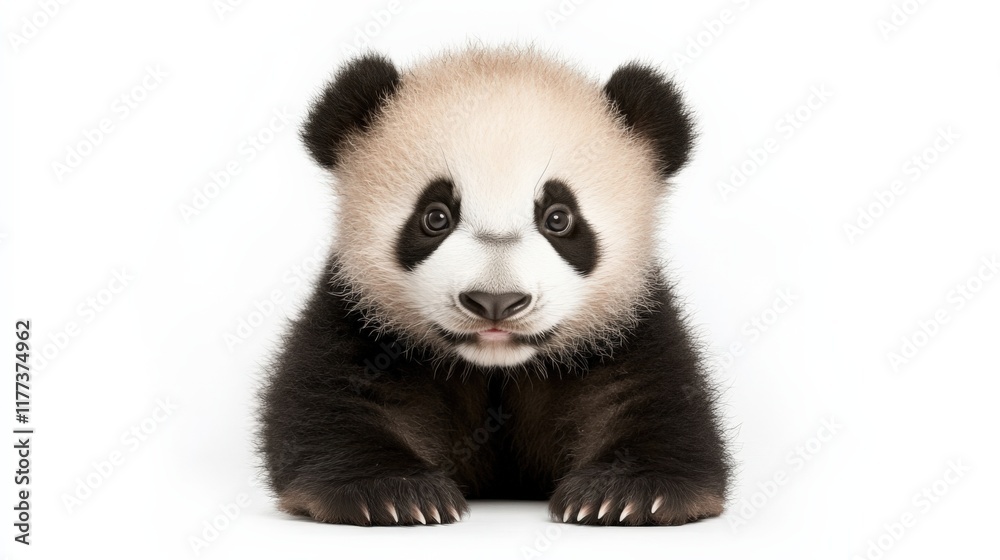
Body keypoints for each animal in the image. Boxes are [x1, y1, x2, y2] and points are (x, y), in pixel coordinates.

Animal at [258, 47, 730, 526]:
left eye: (559, 218)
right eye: (435, 216)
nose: (495, 301)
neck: (496, 367)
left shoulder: (630, 318)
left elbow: (656, 400)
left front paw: (624, 494)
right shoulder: (358, 312)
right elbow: (331, 399)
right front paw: (392, 492)